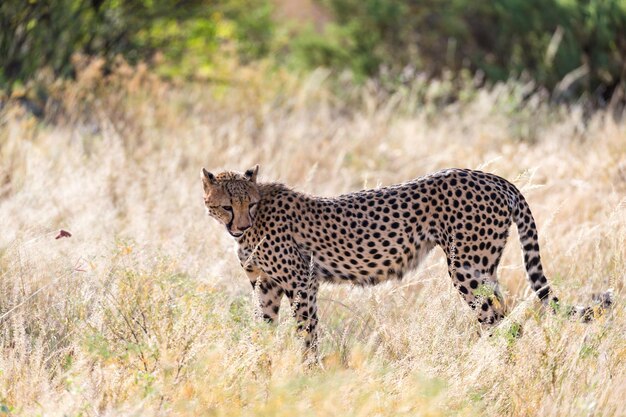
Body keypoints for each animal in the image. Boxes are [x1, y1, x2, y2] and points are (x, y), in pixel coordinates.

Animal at [200, 165, 608, 352]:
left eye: (249, 204)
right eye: (226, 206)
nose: (239, 226)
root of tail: (491, 176)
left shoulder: (303, 282)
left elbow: (307, 332)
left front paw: (307, 372)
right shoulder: (264, 285)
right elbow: (264, 327)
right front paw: (261, 363)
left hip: (467, 269)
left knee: (499, 322)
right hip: (485, 269)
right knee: (506, 318)